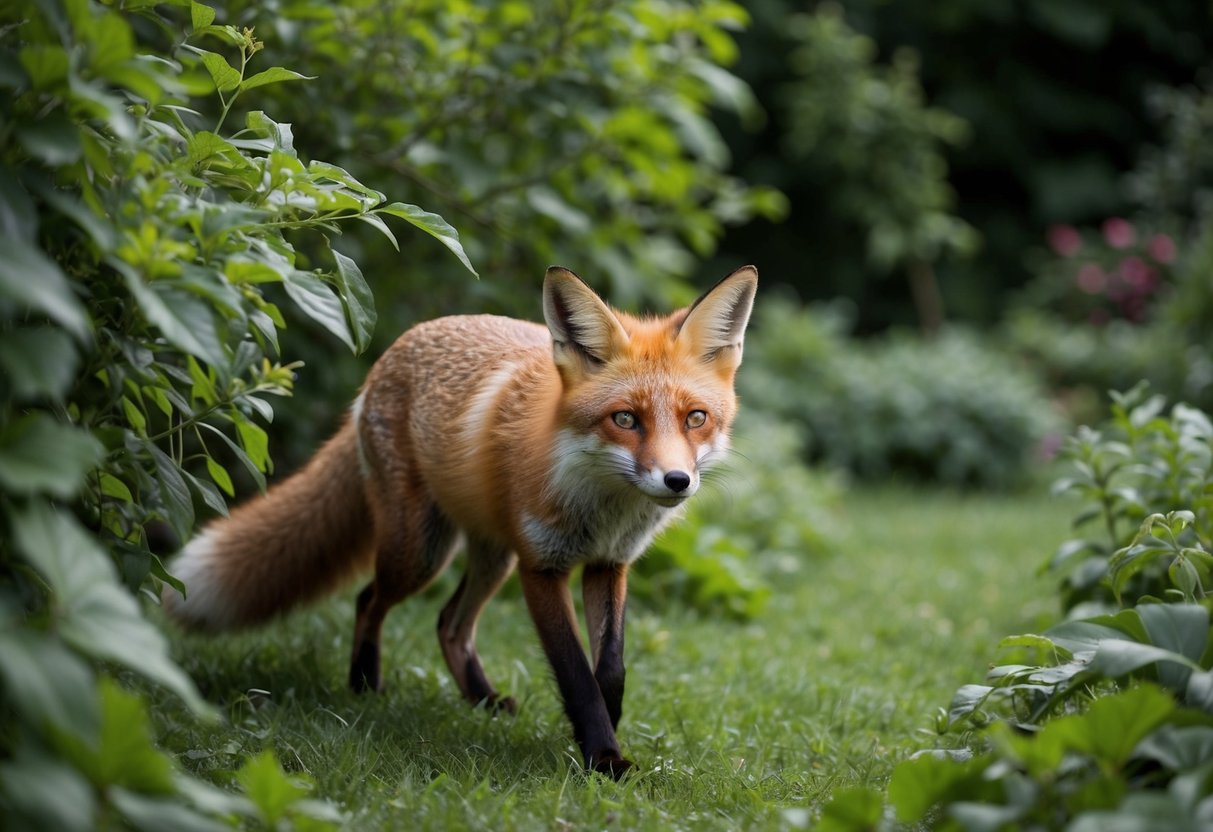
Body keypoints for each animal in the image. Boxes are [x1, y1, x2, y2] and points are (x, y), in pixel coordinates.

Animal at [163, 264, 757, 778]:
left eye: (696, 418)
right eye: (626, 419)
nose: (676, 481)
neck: (603, 508)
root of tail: (387, 357)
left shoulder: (609, 565)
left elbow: (609, 670)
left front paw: (603, 734)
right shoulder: (541, 568)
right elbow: (576, 674)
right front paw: (603, 757)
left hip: (492, 556)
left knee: (449, 623)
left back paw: (482, 700)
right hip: (421, 551)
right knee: (369, 599)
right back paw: (364, 686)